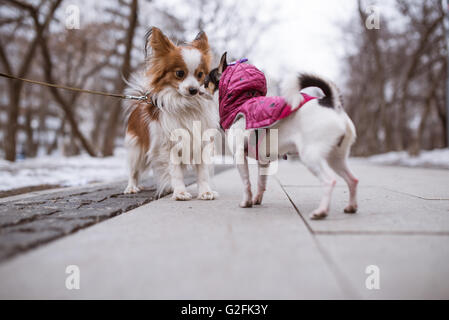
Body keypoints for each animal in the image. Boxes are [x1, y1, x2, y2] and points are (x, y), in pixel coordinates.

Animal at [123, 27, 218, 200]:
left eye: (200, 75)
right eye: (180, 73)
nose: (193, 90)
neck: (185, 105)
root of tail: (140, 101)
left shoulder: (199, 143)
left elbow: (202, 173)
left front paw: (205, 192)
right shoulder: (167, 148)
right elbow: (176, 172)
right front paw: (180, 192)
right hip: (136, 150)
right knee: (134, 171)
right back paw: (131, 187)